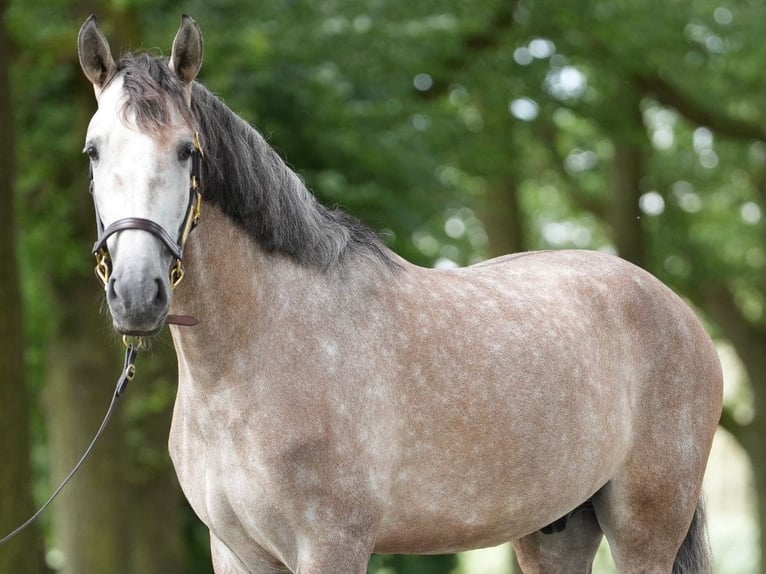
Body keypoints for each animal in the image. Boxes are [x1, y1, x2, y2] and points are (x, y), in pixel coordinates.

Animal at [78, 14, 728, 574]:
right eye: (94, 150)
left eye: (186, 150)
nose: (136, 293)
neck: (251, 358)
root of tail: (680, 313)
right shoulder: (237, 554)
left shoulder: (332, 546)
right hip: (555, 530)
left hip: (644, 530)